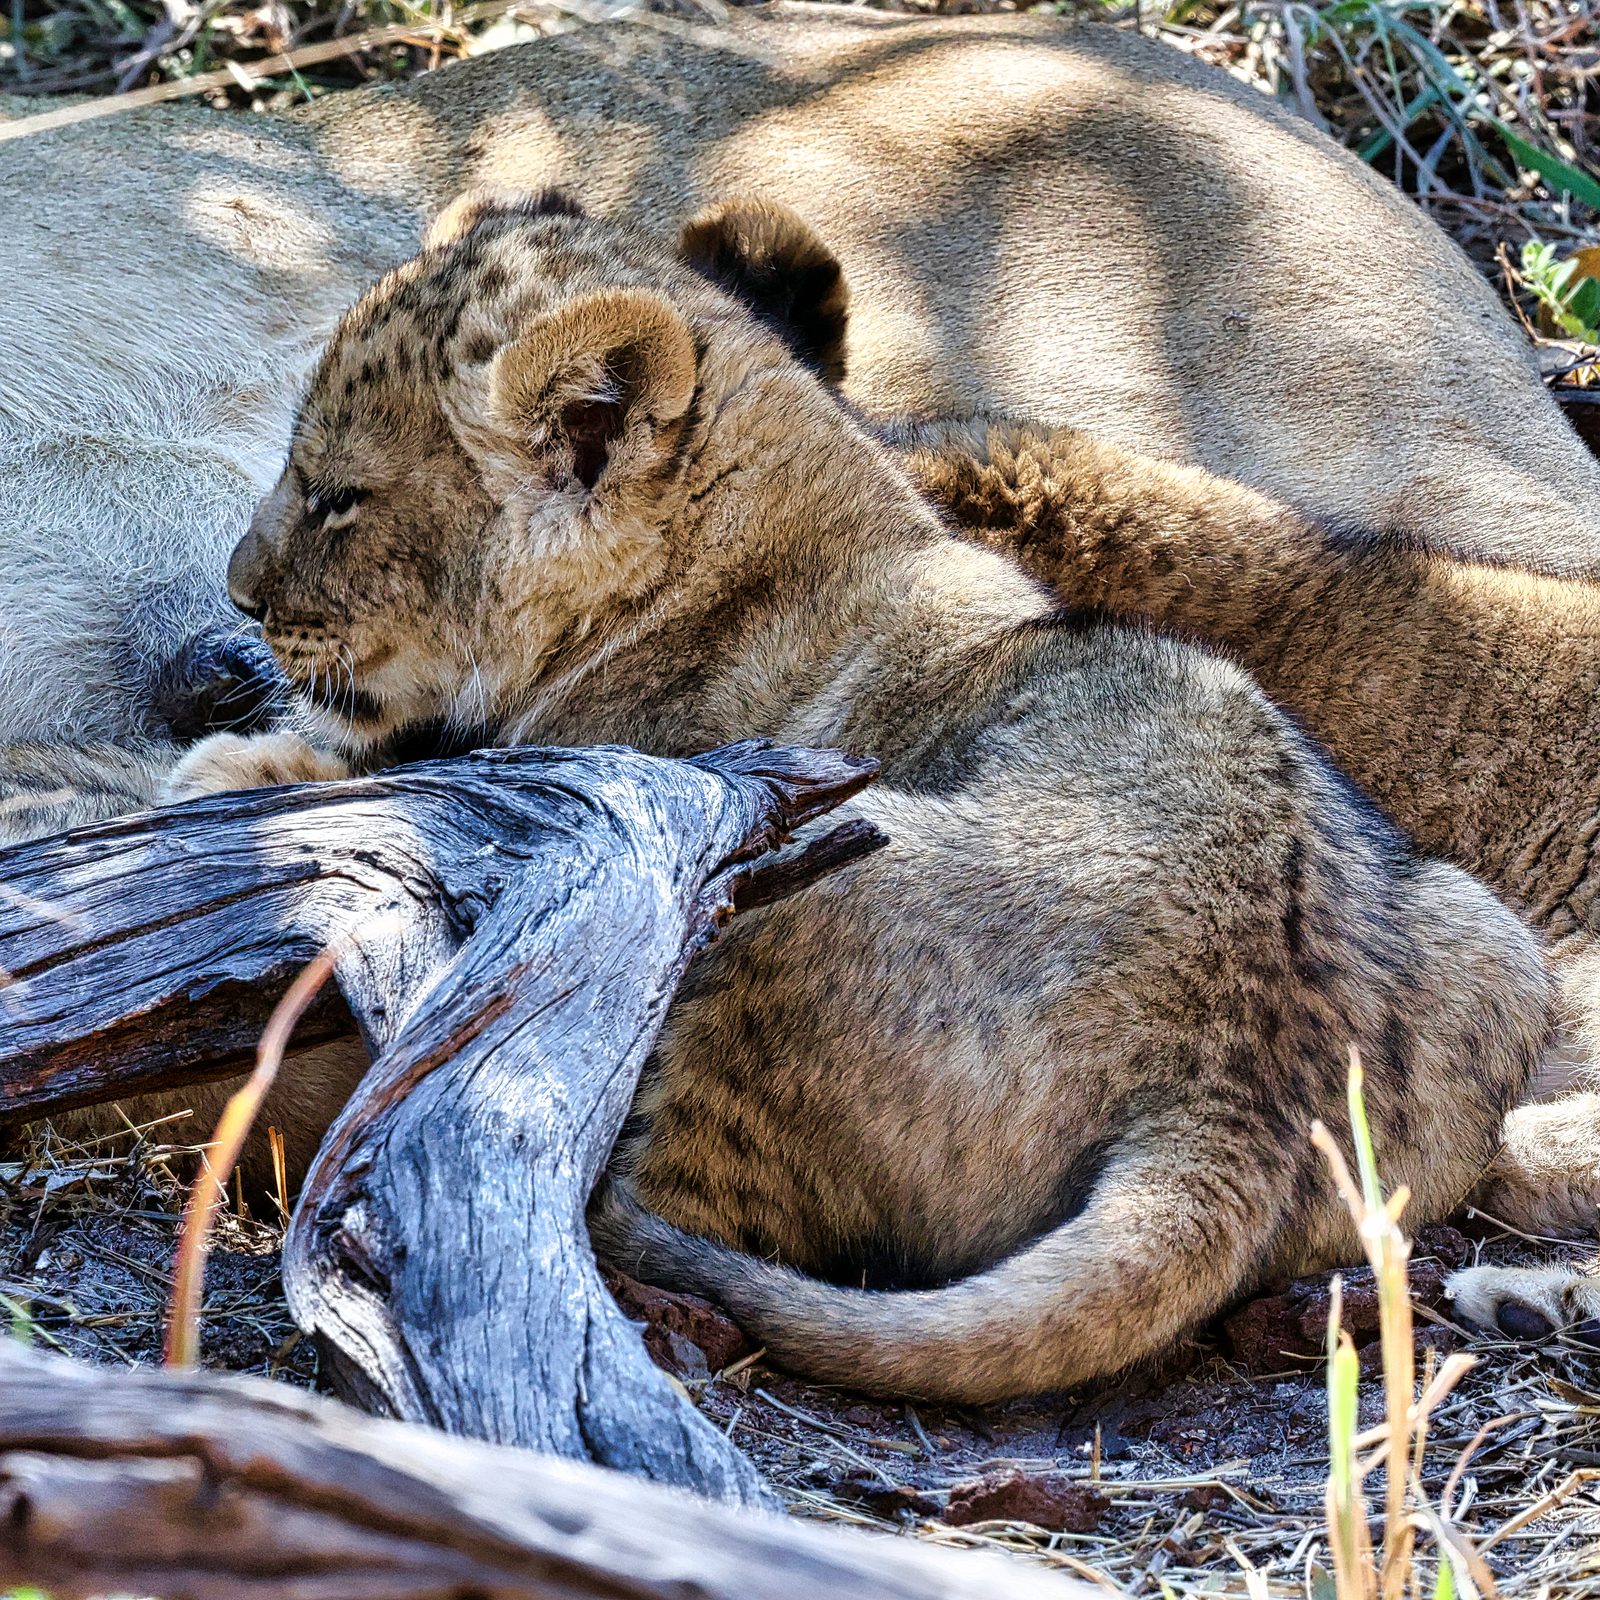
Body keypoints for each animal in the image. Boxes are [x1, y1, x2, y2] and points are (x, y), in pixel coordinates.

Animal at [155, 190, 1573, 1401]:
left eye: (338, 497)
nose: (237, 593)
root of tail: (1238, 1081)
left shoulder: (586, 780)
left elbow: (393, 775)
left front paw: (238, 768)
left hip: (762, 868)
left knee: (666, 1199)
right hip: (1484, 936)